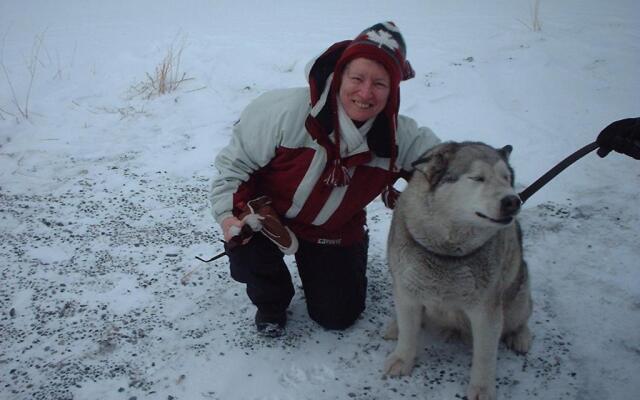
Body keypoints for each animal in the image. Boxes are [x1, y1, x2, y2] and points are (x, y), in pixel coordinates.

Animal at [384, 141, 528, 400]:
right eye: (477, 178)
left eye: (506, 178)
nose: (513, 201)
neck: (448, 253)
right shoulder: (407, 292)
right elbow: (408, 333)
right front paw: (402, 359)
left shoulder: (486, 310)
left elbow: (485, 356)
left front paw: (482, 388)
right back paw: (395, 325)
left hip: (518, 295)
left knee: (521, 318)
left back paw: (521, 337)